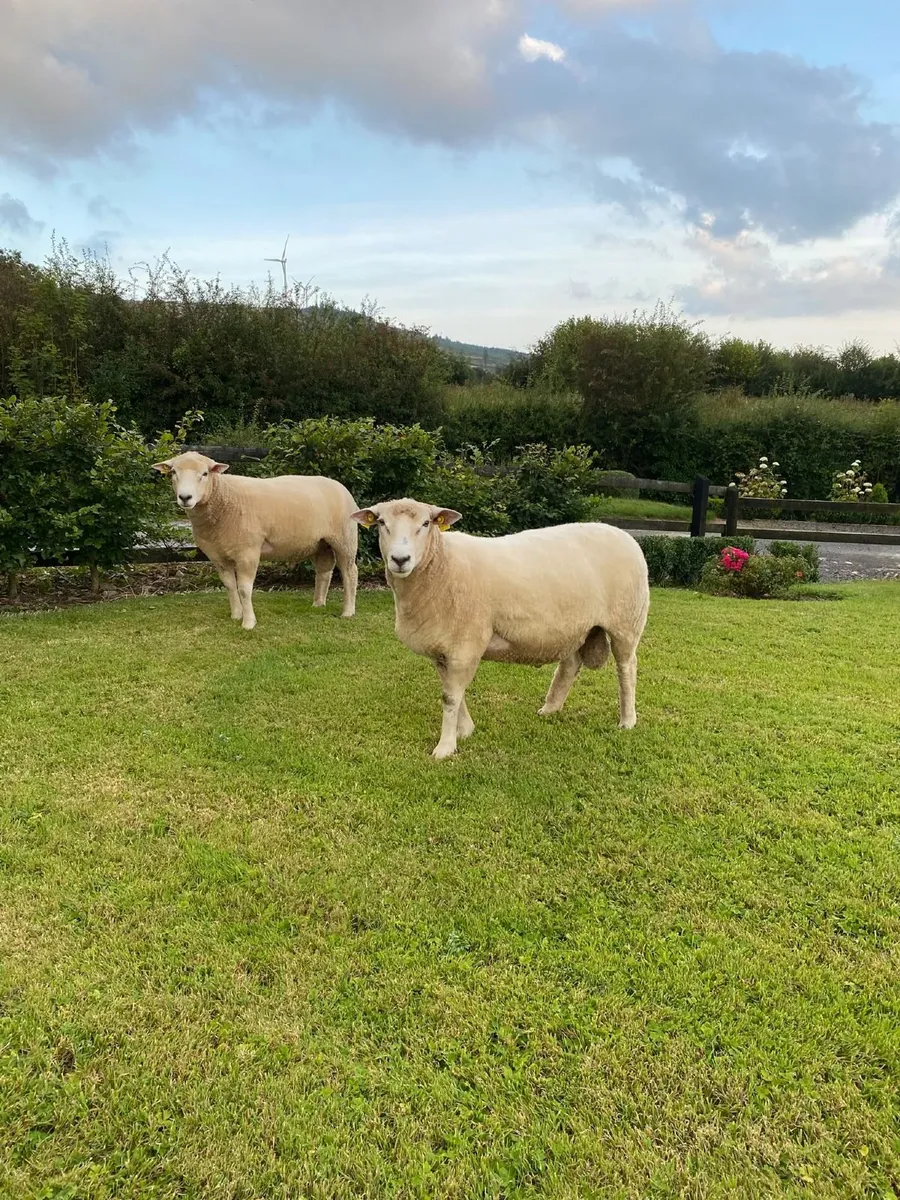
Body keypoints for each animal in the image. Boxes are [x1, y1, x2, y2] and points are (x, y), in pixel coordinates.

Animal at [153, 451, 359, 630]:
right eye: (173, 473)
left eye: (205, 473)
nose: (185, 497)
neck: (223, 499)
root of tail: (340, 486)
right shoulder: (217, 556)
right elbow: (230, 586)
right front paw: (236, 615)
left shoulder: (248, 552)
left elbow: (244, 589)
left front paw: (248, 622)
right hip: (321, 543)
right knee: (324, 571)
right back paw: (318, 604)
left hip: (345, 538)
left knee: (350, 572)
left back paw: (348, 611)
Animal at [352, 498, 649, 759]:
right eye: (381, 522)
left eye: (426, 523)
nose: (400, 559)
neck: (440, 564)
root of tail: (625, 535)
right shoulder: (443, 648)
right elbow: (453, 693)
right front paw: (465, 730)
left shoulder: (465, 644)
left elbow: (450, 697)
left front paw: (445, 747)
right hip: (577, 627)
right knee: (570, 664)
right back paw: (550, 708)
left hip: (626, 622)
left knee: (626, 668)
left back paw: (627, 720)